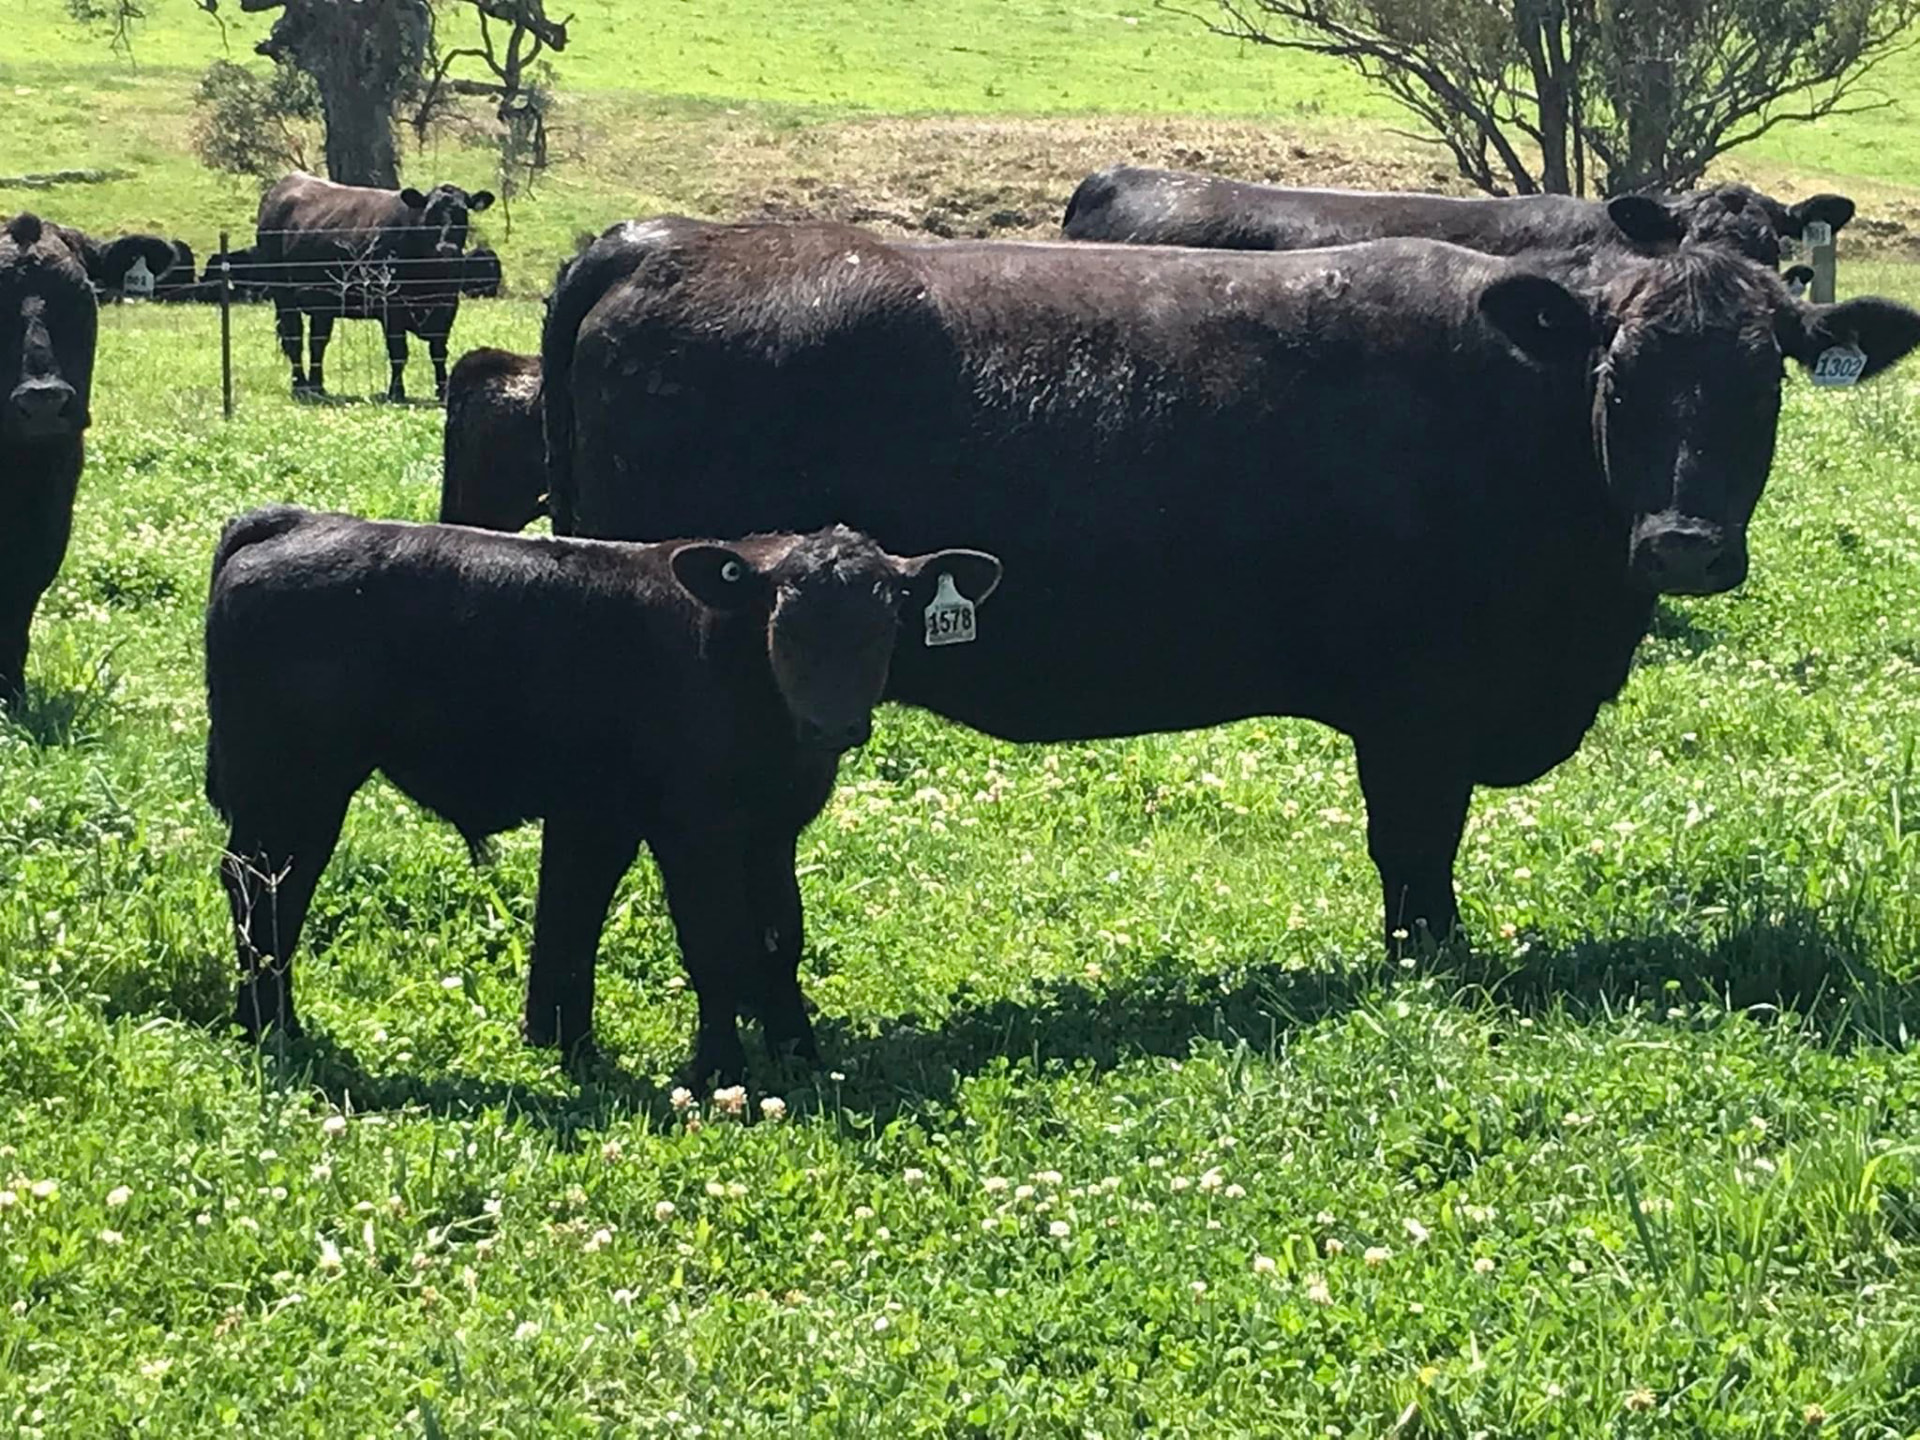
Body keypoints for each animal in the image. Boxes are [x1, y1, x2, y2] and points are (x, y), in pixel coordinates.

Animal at [204, 506, 1001, 1078]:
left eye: (887, 618)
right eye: (784, 616)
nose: (832, 722)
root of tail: (291, 520)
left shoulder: (771, 828)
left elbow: (781, 938)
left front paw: (801, 1056)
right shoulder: (692, 826)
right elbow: (716, 943)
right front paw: (719, 1071)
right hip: (293, 779)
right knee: (267, 888)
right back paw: (271, 1025)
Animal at [253, 172, 495, 402]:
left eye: (463, 213)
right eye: (430, 214)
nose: (446, 249)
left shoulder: (447, 306)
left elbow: (438, 352)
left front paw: (442, 391)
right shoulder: (392, 307)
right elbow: (399, 353)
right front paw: (396, 392)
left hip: (323, 304)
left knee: (317, 343)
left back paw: (317, 387)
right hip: (283, 295)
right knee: (294, 340)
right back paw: (300, 387)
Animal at [542, 218, 1920, 962]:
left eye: (1763, 381)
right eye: (1618, 378)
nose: (1683, 544)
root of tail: (658, 238)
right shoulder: (1420, 709)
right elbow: (1415, 850)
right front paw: (1433, 966)